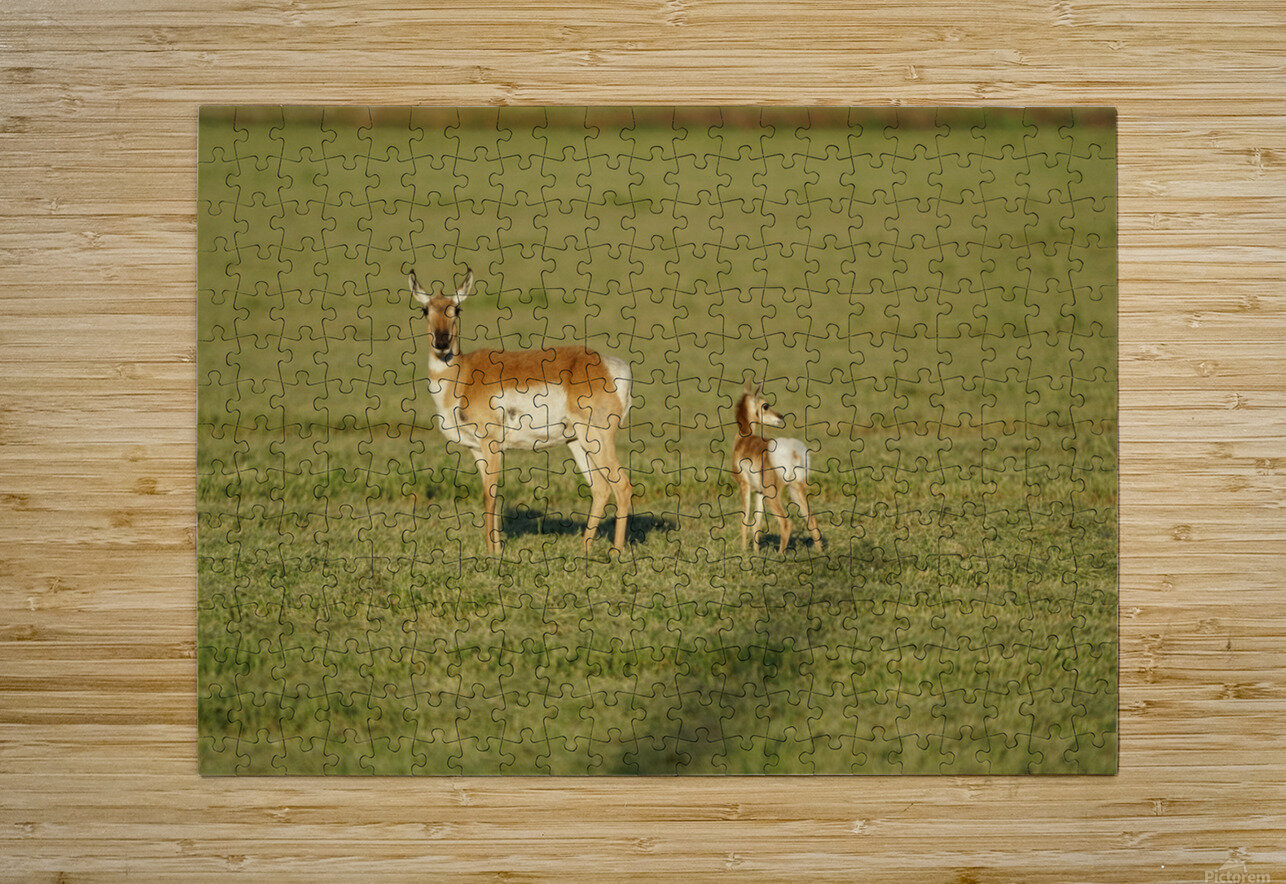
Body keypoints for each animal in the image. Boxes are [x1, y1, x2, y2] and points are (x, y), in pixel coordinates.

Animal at [410, 267, 633, 555]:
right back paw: (584, 549)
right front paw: (494, 549)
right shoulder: (476, 450)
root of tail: (608, 365)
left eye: (456, 309)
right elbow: (491, 494)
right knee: (601, 489)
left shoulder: (491, 443)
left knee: (622, 486)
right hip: (577, 442)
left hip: (596, 438)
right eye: (425, 309)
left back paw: (616, 552)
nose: (441, 342)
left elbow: (489, 495)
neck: (464, 375)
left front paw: (492, 553)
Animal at [732, 380, 823, 553]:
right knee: (812, 519)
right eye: (766, 405)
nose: (780, 417)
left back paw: (780, 554)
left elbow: (744, 519)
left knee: (786, 522)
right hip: (795, 489)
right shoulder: (759, 492)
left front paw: (743, 551)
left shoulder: (745, 486)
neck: (743, 441)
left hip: (773, 494)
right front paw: (755, 552)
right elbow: (757, 522)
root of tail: (793, 451)